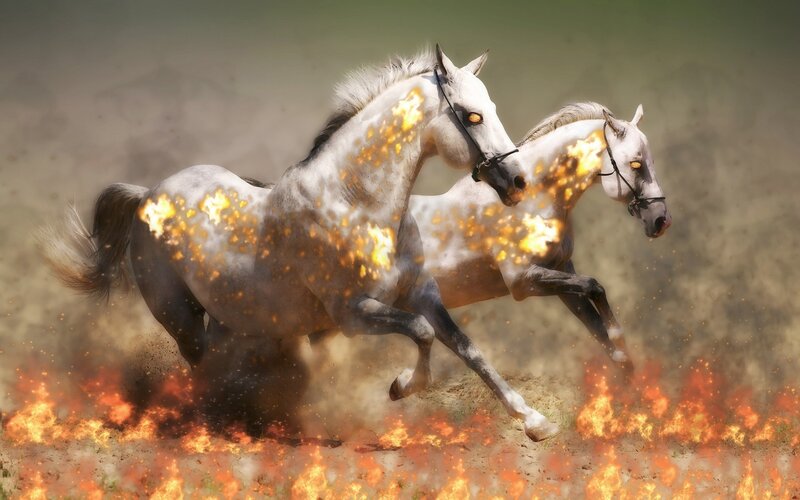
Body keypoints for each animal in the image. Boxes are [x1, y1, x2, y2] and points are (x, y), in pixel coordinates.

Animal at [41, 46, 565, 441]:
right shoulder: (353, 314)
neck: (357, 204)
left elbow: (466, 347)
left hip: (230, 317)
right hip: (180, 317)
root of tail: (148, 194)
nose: (518, 182)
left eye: (492, 109)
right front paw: (400, 387)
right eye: (471, 116)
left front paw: (535, 422)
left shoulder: (422, 293)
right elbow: (420, 333)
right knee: (200, 369)